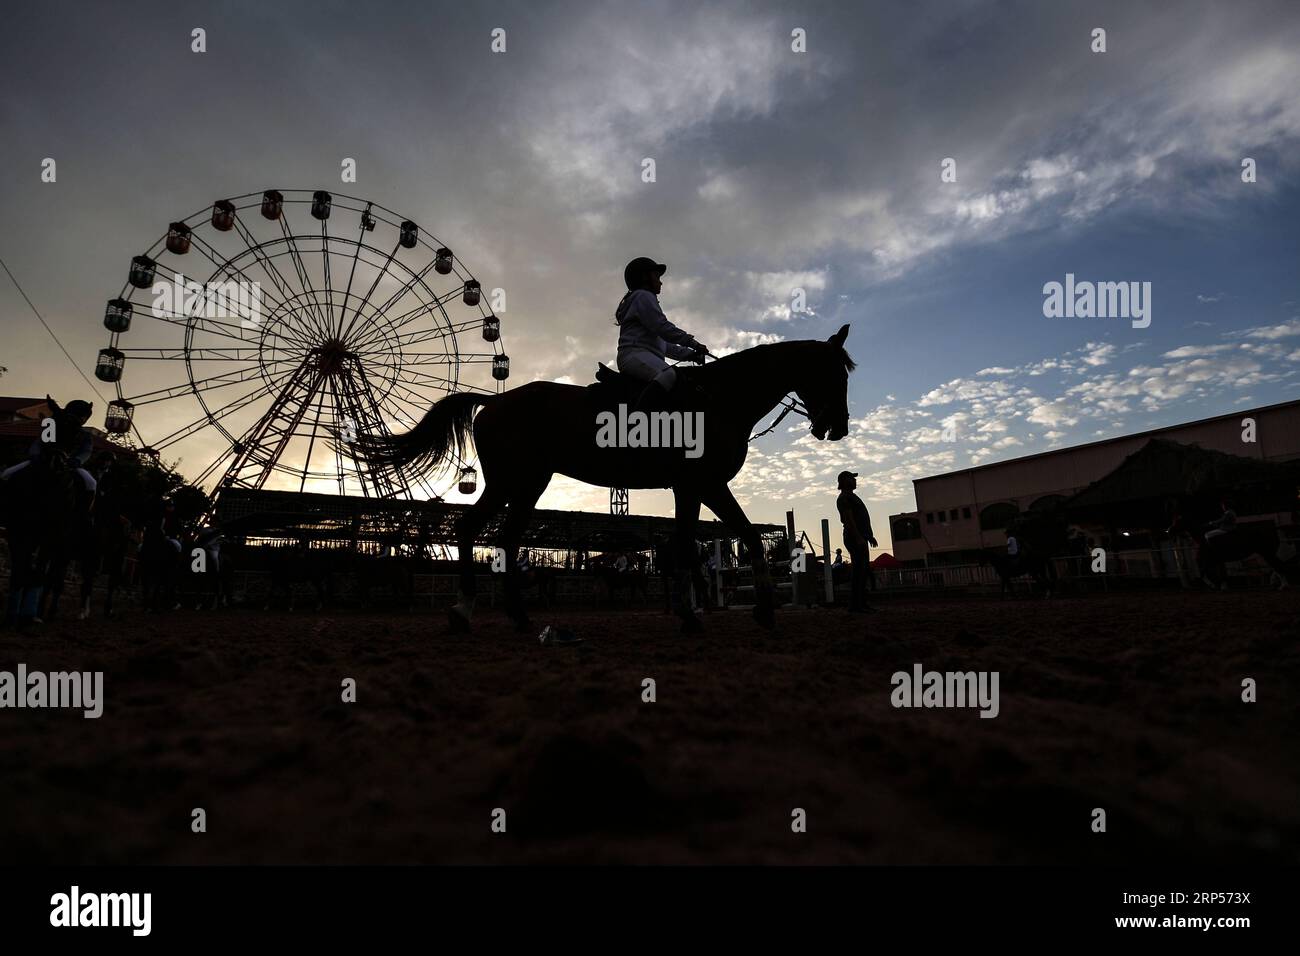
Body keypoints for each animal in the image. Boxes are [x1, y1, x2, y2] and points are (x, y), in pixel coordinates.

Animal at [351, 329, 852, 634]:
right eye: (833, 373)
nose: (838, 428)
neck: (721, 398)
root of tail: (494, 402)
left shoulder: (690, 488)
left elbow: (689, 543)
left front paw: (692, 613)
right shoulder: (708, 484)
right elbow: (744, 536)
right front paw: (762, 610)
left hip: (521, 485)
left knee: (497, 536)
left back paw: (506, 615)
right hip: (517, 482)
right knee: (482, 532)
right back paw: (477, 610)